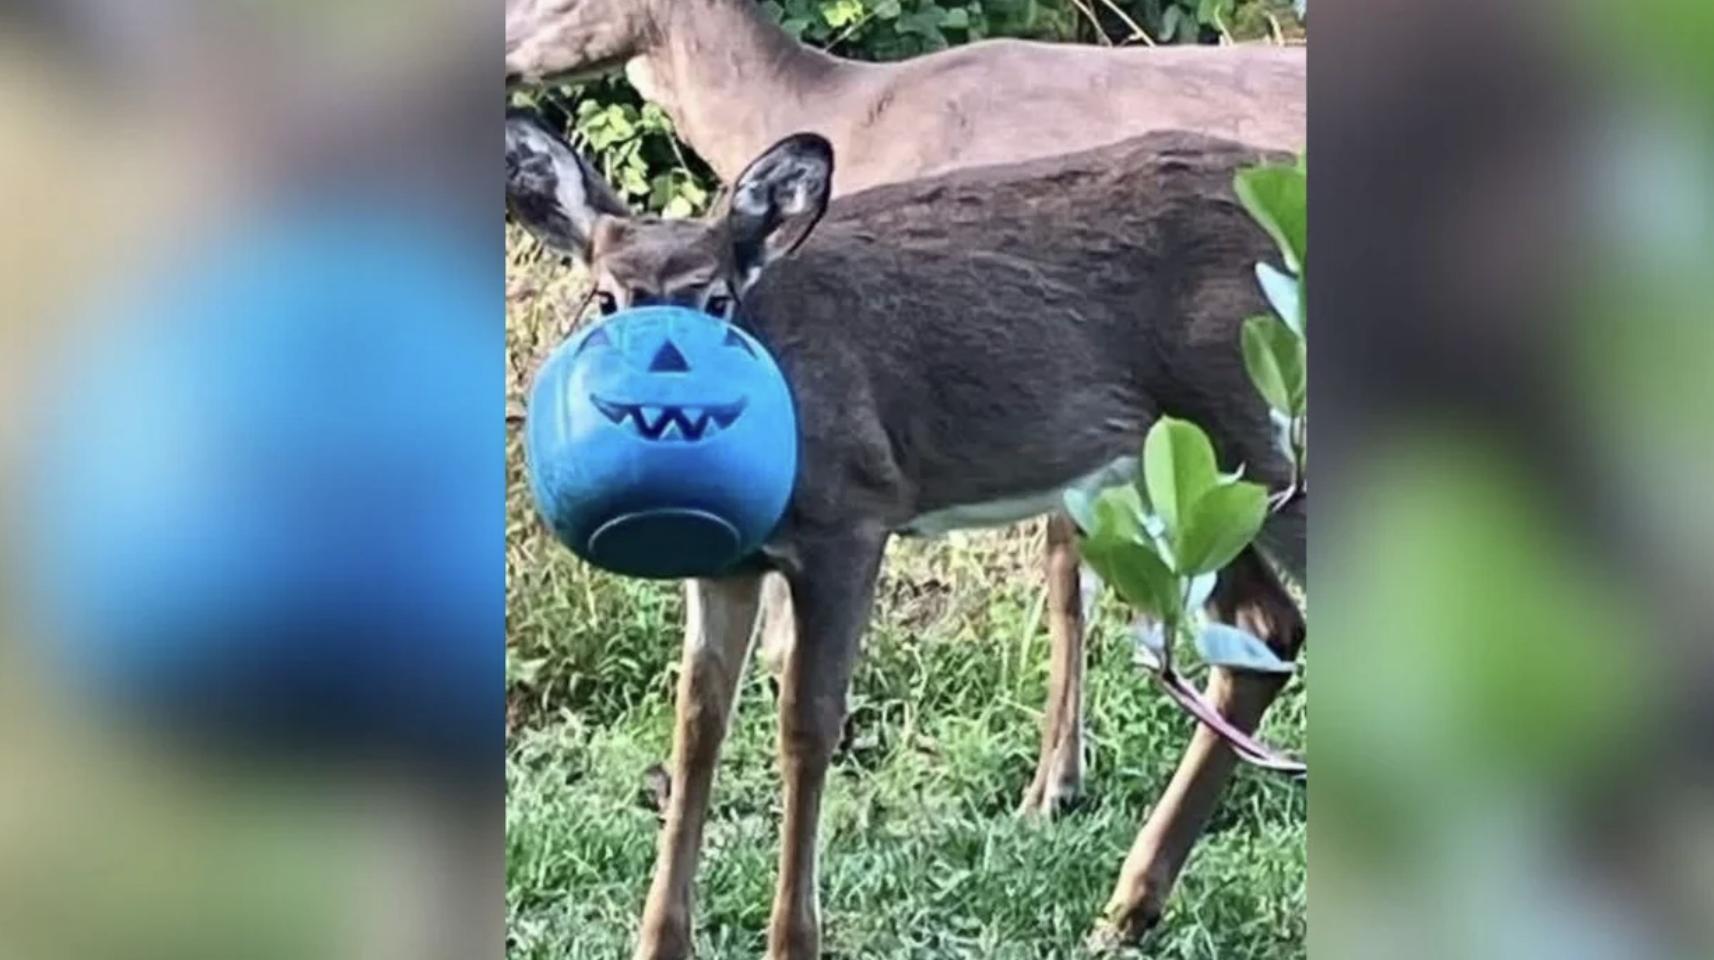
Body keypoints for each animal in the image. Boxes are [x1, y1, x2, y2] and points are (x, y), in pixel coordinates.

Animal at [505, 111, 1306, 957]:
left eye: (717, 300)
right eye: (605, 299)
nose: (659, 388)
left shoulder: (854, 515)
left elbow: (806, 725)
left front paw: (792, 940)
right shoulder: (729, 563)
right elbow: (697, 726)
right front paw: (659, 941)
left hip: (1254, 428)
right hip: (1174, 476)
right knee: (1264, 631)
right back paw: (1129, 906)